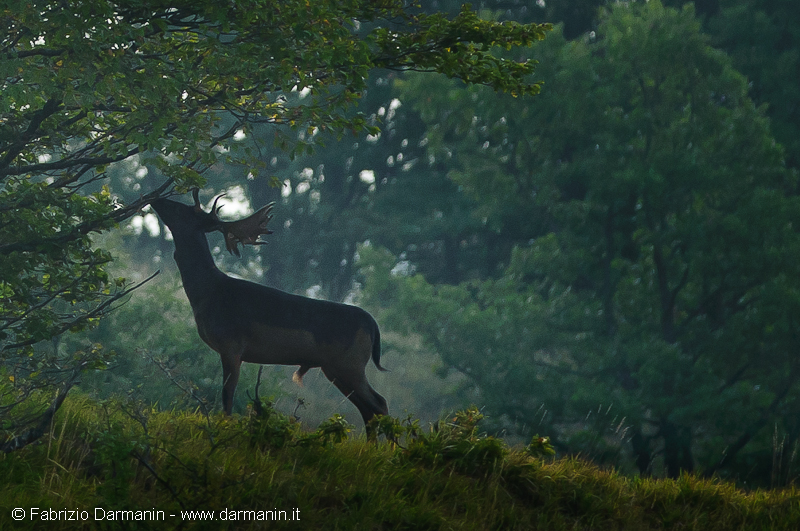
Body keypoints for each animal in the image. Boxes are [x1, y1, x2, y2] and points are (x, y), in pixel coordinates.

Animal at [152, 190, 390, 428]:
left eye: (181, 209)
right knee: (368, 410)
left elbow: (227, 396)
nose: (157, 199)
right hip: (335, 368)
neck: (206, 293)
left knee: (379, 403)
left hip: (350, 363)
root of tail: (373, 325)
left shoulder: (231, 345)